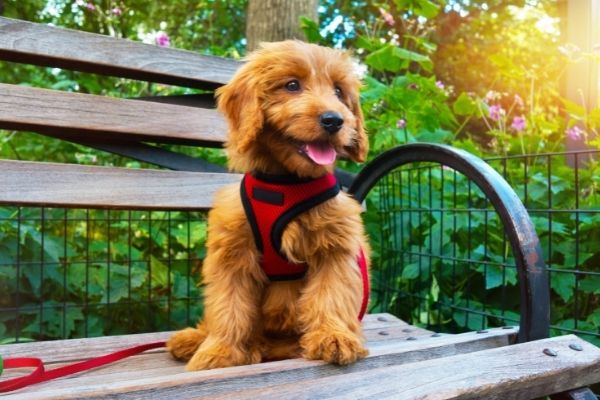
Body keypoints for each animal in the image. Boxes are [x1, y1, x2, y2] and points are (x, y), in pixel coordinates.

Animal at [165, 40, 370, 372]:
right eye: (292, 85)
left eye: (339, 92)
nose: (334, 120)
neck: (286, 183)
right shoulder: (232, 253)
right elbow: (229, 307)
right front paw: (220, 351)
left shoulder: (335, 249)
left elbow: (330, 295)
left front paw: (334, 337)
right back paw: (195, 339)